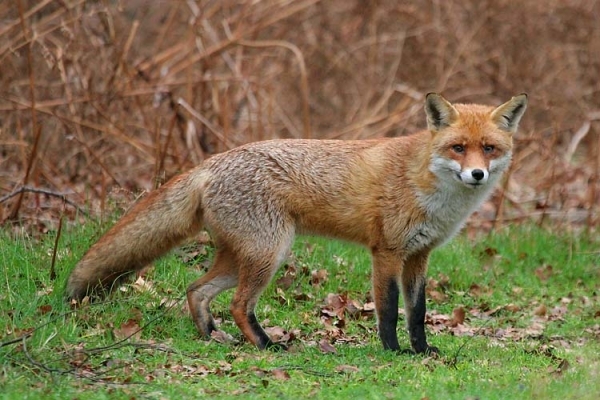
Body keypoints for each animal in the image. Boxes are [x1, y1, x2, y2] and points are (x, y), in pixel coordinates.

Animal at [64, 93, 524, 354]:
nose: (477, 174)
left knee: (196, 290)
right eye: (458, 147)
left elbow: (418, 313)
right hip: (271, 252)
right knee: (238, 304)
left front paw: (424, 352)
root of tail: (211, 163)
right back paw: (267, 346)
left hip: (244, 256)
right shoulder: (387, 252)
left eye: (488, 148)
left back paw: (211, 337)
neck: (432, 189)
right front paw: (394, 352)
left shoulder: (419, 256)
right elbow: (390, 311)